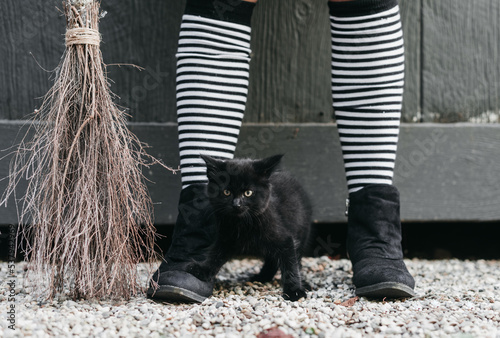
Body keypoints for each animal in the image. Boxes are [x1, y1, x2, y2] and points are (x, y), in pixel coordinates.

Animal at [191, 154, 312, 302]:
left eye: (248, 192)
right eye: (227, 192)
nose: (236, 204)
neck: (243, 224)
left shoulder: (285, 239)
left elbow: (290, 264)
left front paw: (294, 291)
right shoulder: (225, 238)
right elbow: (215, 255)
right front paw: (202, 270)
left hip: (302, 231)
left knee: (295, 259)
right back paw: (262, 277)